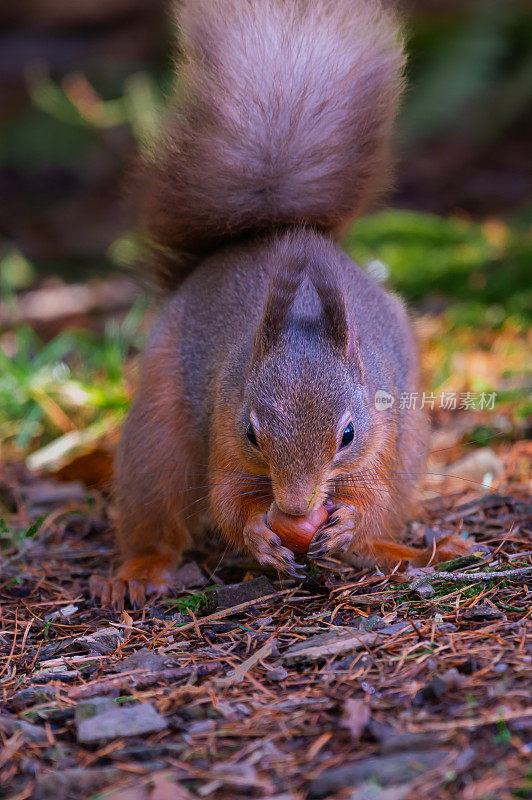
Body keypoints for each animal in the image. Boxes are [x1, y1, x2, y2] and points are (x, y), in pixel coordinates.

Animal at [90, 0, 462, 608]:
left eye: (348, 434)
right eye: (251, 433)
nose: (293, 508)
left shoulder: (383, 430)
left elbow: (373, 494)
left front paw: (350, 522)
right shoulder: (225, 416)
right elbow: (226, 499)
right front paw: (259, 535)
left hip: (411, 445)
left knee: (387, 512)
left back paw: (398, 552)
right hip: (156, 434)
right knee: (156, 511)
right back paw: (139, 571)